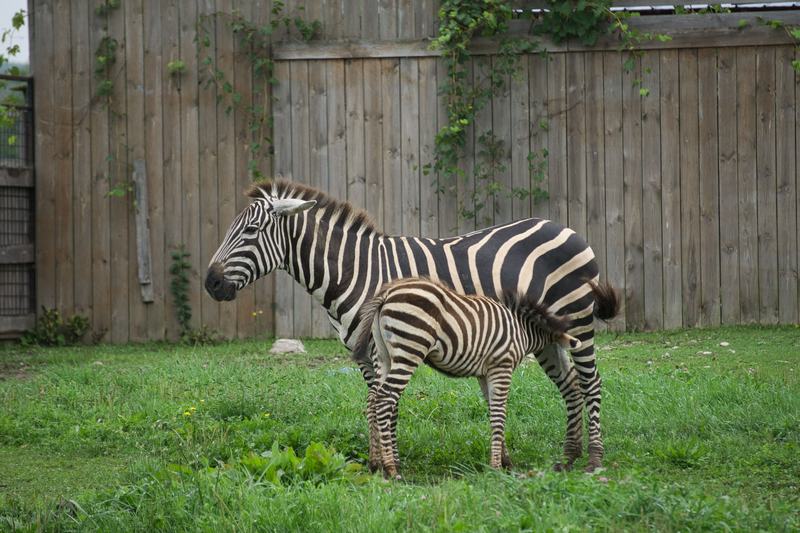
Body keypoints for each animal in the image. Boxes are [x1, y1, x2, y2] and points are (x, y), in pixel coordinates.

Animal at [352, 277, 604, 477]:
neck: (522, 328)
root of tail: (386, 294)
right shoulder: (502, 366)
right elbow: (500, 413)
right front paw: (496, 467)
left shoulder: (485, 373)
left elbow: (493, 412)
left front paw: (504, 462)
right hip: (409, 349)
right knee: (385, 400)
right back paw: (391, 468)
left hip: (384, 355)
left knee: (373, 400)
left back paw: (376, 465)